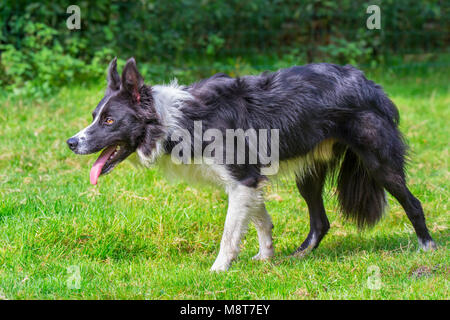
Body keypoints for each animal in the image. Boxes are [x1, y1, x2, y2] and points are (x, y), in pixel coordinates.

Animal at [67, 57, 436, 270]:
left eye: (110, 121)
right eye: (94, 116)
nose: (71, 142)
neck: (173, 119)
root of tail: (369, 84)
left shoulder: (242, 178)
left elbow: (230, 233)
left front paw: (219, 269)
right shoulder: (248, 179)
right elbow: (261, 220)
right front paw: (266, 257)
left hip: (378, 162)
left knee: (413, 203)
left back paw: (428, 246)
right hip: (308, 172)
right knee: (320, 221)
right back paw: (299, 256)